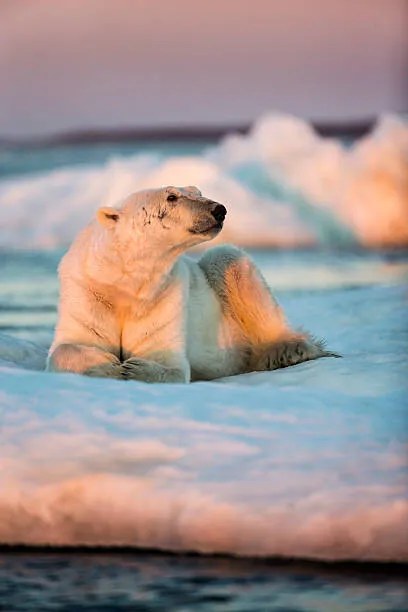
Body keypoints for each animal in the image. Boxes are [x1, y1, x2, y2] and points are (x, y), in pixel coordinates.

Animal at [46, 184, 336, 380]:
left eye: (197, 190)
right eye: (171, 196)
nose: (219, 209)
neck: (125, 281)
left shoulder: (163, 296)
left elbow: (167, 360)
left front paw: (132, 368)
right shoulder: (87, 291)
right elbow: (72, 344)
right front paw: (106, 363)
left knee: (231, 262)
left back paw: (289, 350)